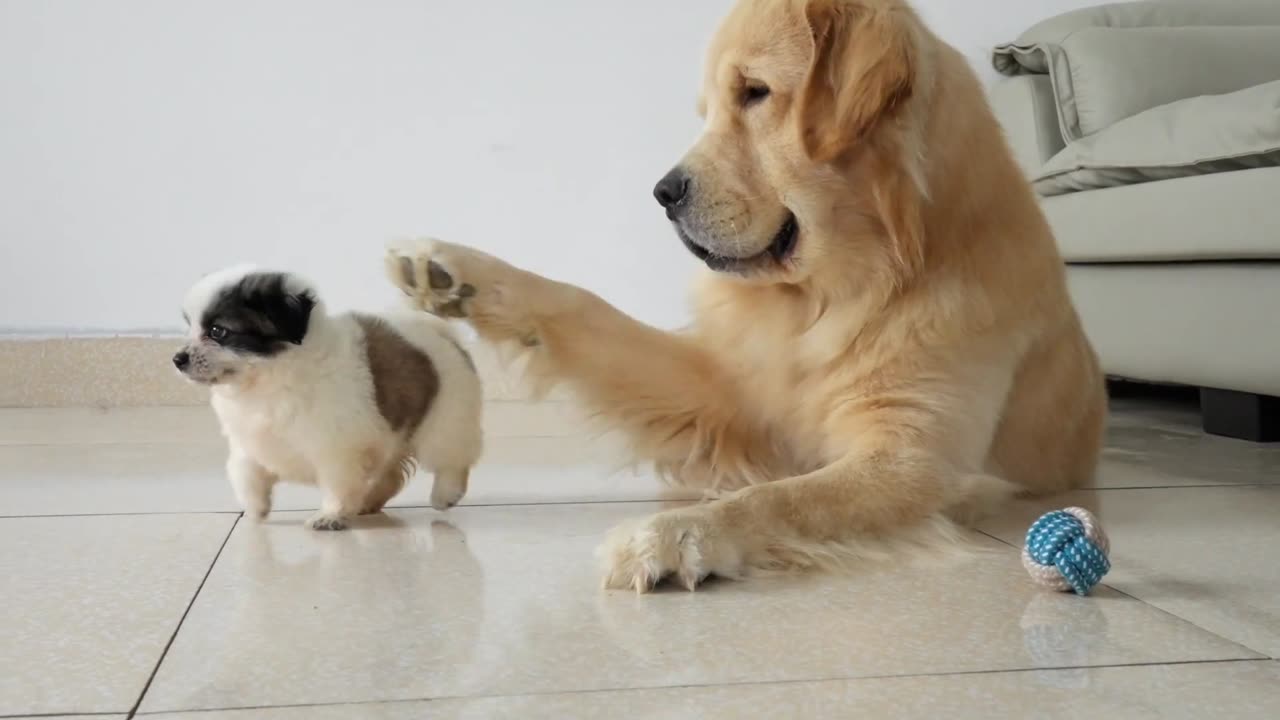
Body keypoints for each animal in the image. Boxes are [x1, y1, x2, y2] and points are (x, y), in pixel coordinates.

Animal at [175, 263, 483, 527]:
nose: (177, 359)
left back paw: (446, 494)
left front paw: (330, 515)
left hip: (444, 419)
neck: (269, 378)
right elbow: (247, 475)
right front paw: (255, 510)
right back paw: (368, 501)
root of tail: (439, 331)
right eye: (190, 327)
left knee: (452, 460)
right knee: (391, 474)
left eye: (218, 331)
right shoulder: (249, 444)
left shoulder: (336, 450)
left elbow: (338, 484)